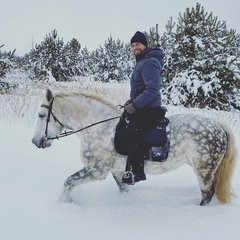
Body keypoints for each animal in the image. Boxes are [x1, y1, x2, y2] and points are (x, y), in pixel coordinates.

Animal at [32, 89, 238, 205]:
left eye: (42, 115)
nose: (35, 141)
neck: (98, 125)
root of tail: (218, 125)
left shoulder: (96, 169)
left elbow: (68, 182)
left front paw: (62, 205)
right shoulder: (117, 171)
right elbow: (123, 189)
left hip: (204, 170)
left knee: (207, 194)